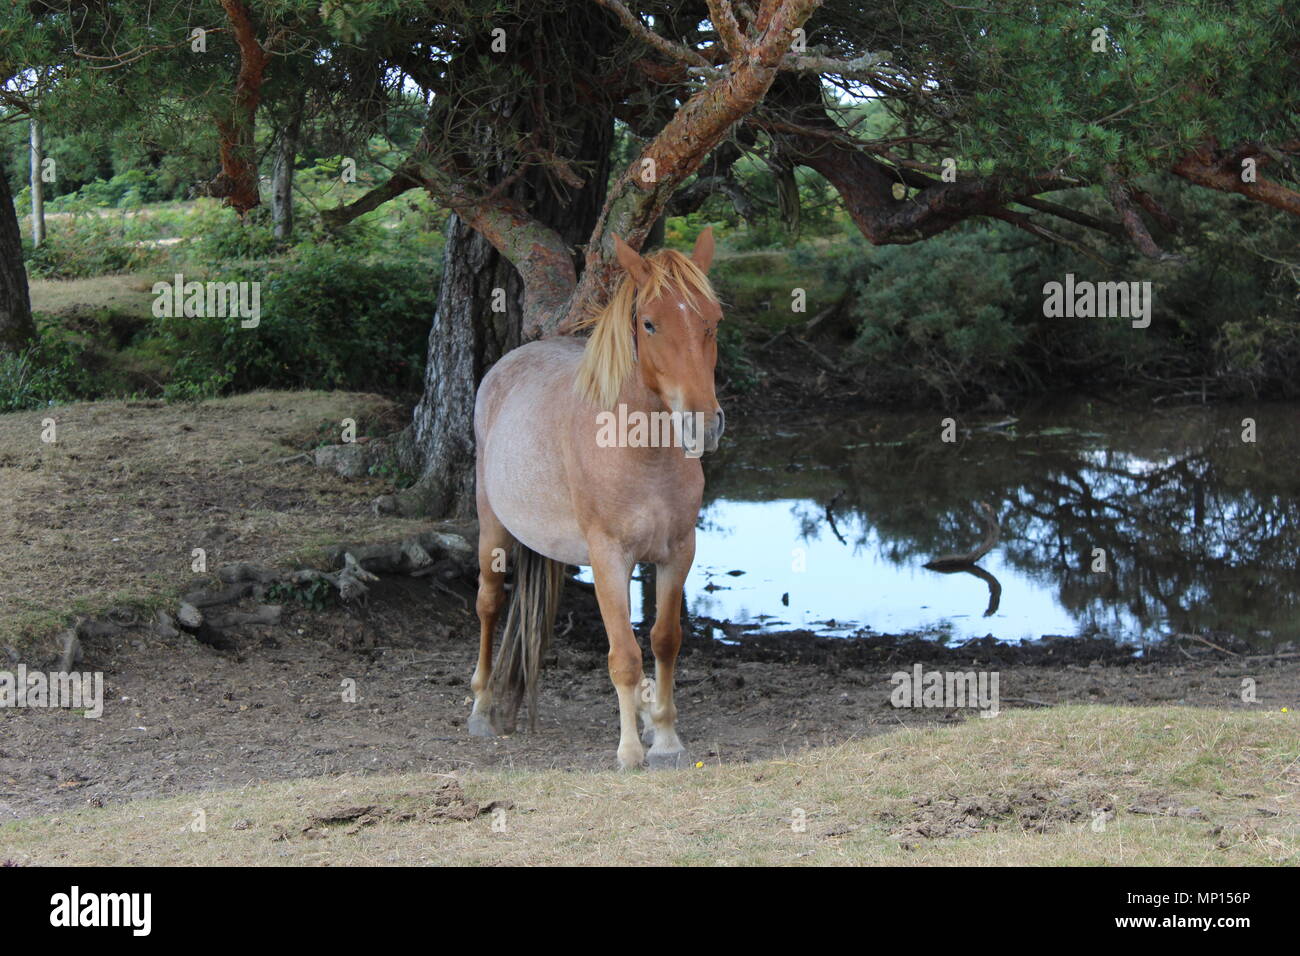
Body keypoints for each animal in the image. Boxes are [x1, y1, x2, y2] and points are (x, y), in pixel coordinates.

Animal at [467, 230, 728, 770]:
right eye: (649, 323)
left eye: (712, 320)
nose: (703, 424)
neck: (640, 453)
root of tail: (506, 366)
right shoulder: (609, 557)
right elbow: (624, 656)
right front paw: (629, 751)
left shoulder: (677, 553)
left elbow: (664, 640)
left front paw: (665, 736)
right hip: (492, 527)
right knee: (488, 603)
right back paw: (482, 708)